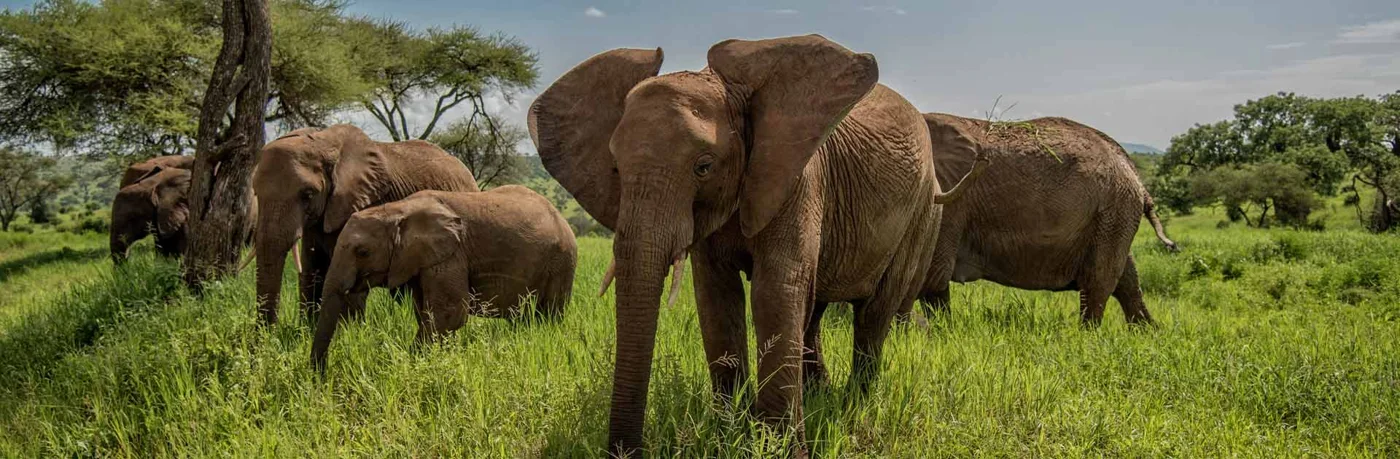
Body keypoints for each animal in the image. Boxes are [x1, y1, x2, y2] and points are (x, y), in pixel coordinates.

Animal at [250, 124, 479, 326]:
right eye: (256, 193)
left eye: (307, 194)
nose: (267, 333)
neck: (324, 143)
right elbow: (312, 270)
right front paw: (306, 330)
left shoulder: (364, 203)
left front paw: (348, 332)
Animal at [310, 186, 577, 371]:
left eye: (363, 252)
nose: (320, 376)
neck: (397, 210)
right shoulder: (423, 259)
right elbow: (426, 312)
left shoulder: (451, 253)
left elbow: (449, 311)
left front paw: (409, 366)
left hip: (562, 262)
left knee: (549, 314)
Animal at [529, 35, 984, 455]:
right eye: (616, 169)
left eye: (704, 167)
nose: (626, 453)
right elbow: (716, 298)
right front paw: (727, 436)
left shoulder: (798, 178)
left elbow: (774, 292)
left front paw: (777, 448)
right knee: (813, 309)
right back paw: (819, 396)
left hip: (922, 212)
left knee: (874, 313)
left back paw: (853, 405)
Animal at [908, 113, 1177, 326]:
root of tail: (1135, 173)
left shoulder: (950, 201)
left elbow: (931, 276)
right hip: (1115, 216)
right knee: (1126, 278)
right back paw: (1148, 333)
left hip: (1113, 209)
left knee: (1098, 281)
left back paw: (1088, 338)